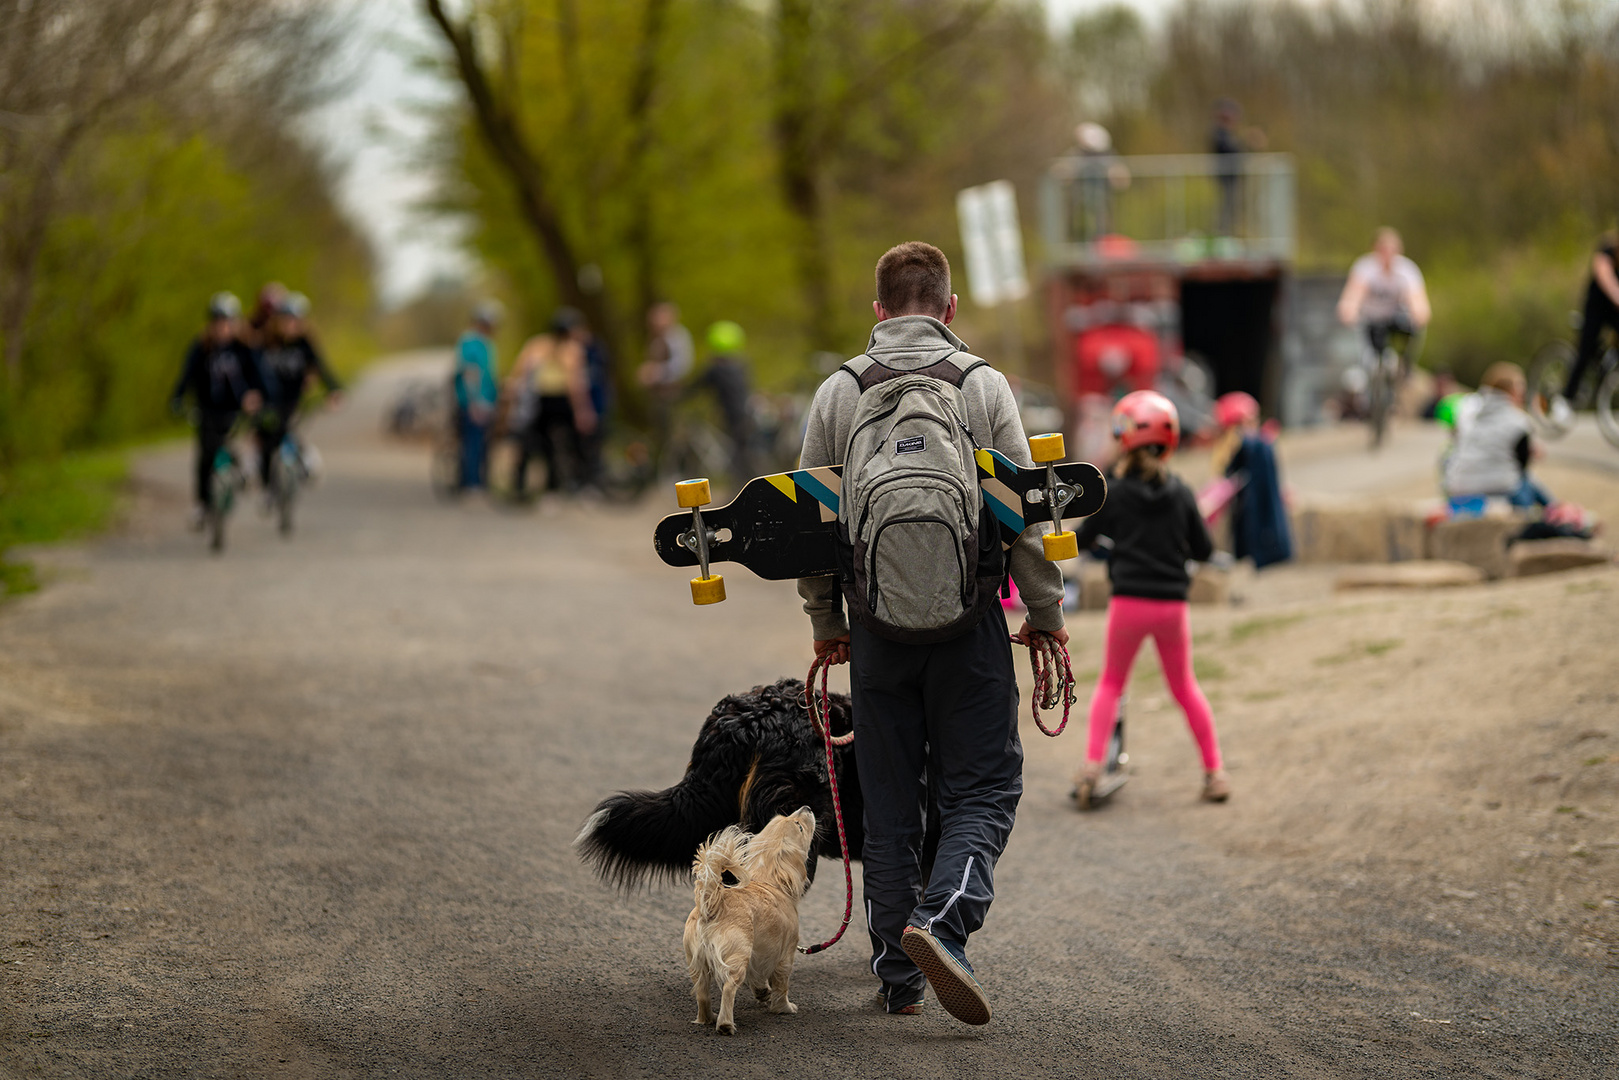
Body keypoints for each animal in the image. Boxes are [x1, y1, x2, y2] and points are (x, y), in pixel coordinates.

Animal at [679, 809, 815, 1029]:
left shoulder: (760, 955)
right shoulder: (786, 954)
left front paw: (763, 993)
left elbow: (759, 980)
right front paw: (784, 1008)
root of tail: (712, 903)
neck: (769, 880)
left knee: (702, 995)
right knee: (729, 988)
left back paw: (708, 1018)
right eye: (799, 826)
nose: (806, 808)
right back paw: (725, 1024)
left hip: (697, 965)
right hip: (738, 955)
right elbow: (781, 986)